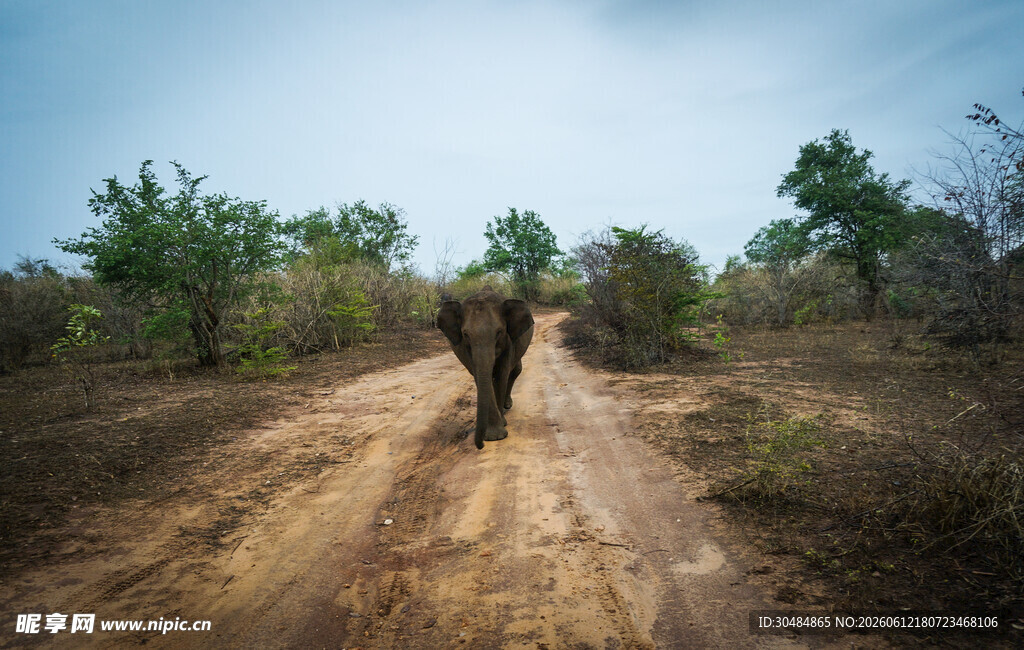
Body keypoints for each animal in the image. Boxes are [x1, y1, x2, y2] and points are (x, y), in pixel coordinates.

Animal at [437, 287, 534, 449]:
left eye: (499, 332)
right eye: (465, 334)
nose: (480, 445)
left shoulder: (508, 341)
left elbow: (502, 374)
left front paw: (500, 429)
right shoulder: (466, 348)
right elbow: (479, 375)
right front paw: (494, 436)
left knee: (515, 370)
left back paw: (507, 406)